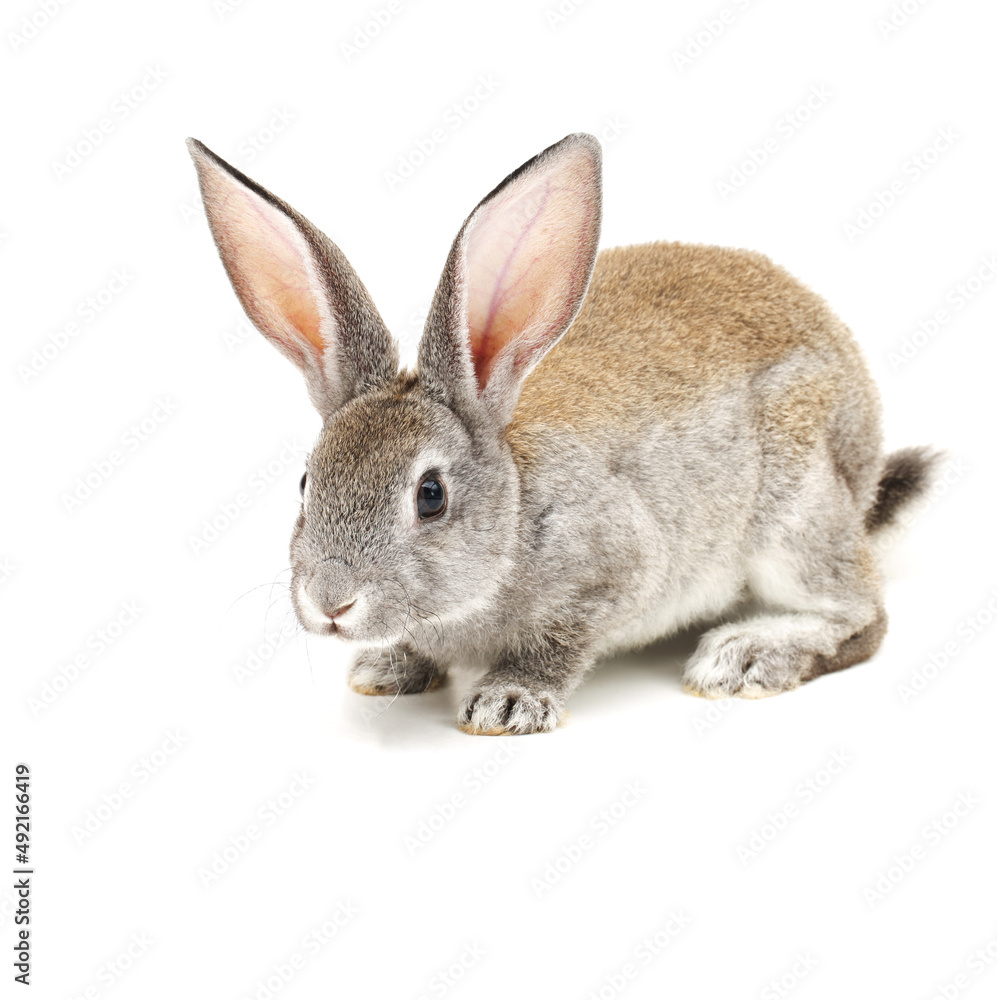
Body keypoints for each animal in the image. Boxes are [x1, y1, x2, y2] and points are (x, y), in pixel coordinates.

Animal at [187, 132, 937, 735]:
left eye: (430, 495)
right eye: (305, 482)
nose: (331, 603)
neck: (514, 511)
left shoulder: (616, 567)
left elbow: (559, 641)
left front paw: (508, 701)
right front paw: (390, 667)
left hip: (794, 515)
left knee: (862, 617)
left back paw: (746, 655)